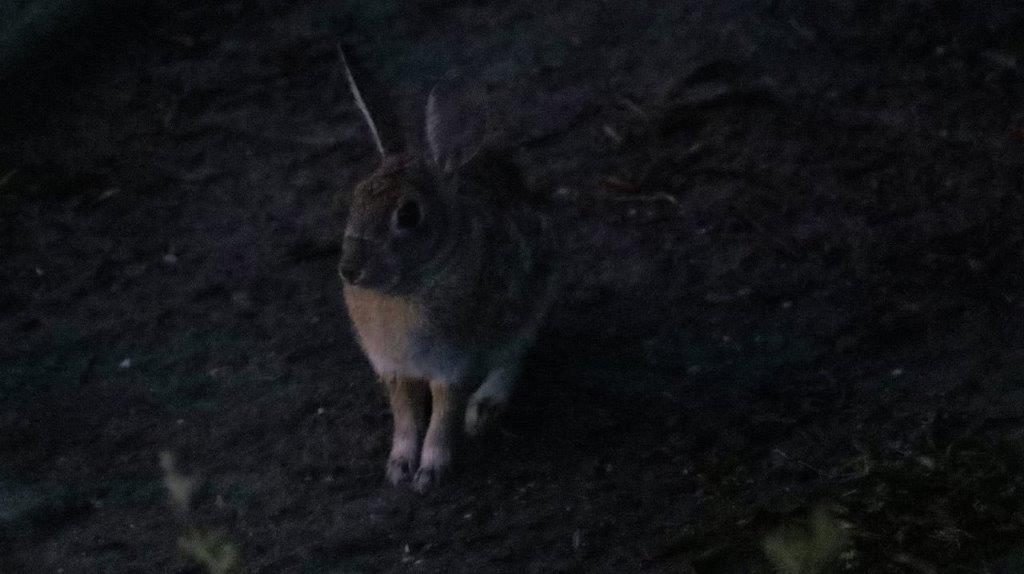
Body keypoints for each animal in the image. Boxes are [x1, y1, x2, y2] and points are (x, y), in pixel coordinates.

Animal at [337, 54, 561, 493]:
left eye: (408, 215)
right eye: (356, 198)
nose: (349, 269)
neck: (412, 285)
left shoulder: (453, 364)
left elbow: (443, 419)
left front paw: (430, 473)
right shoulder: (392, 366)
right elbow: (406, 417)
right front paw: (398, 467)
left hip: (530, 304)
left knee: (513, 356)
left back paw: (484, 410)